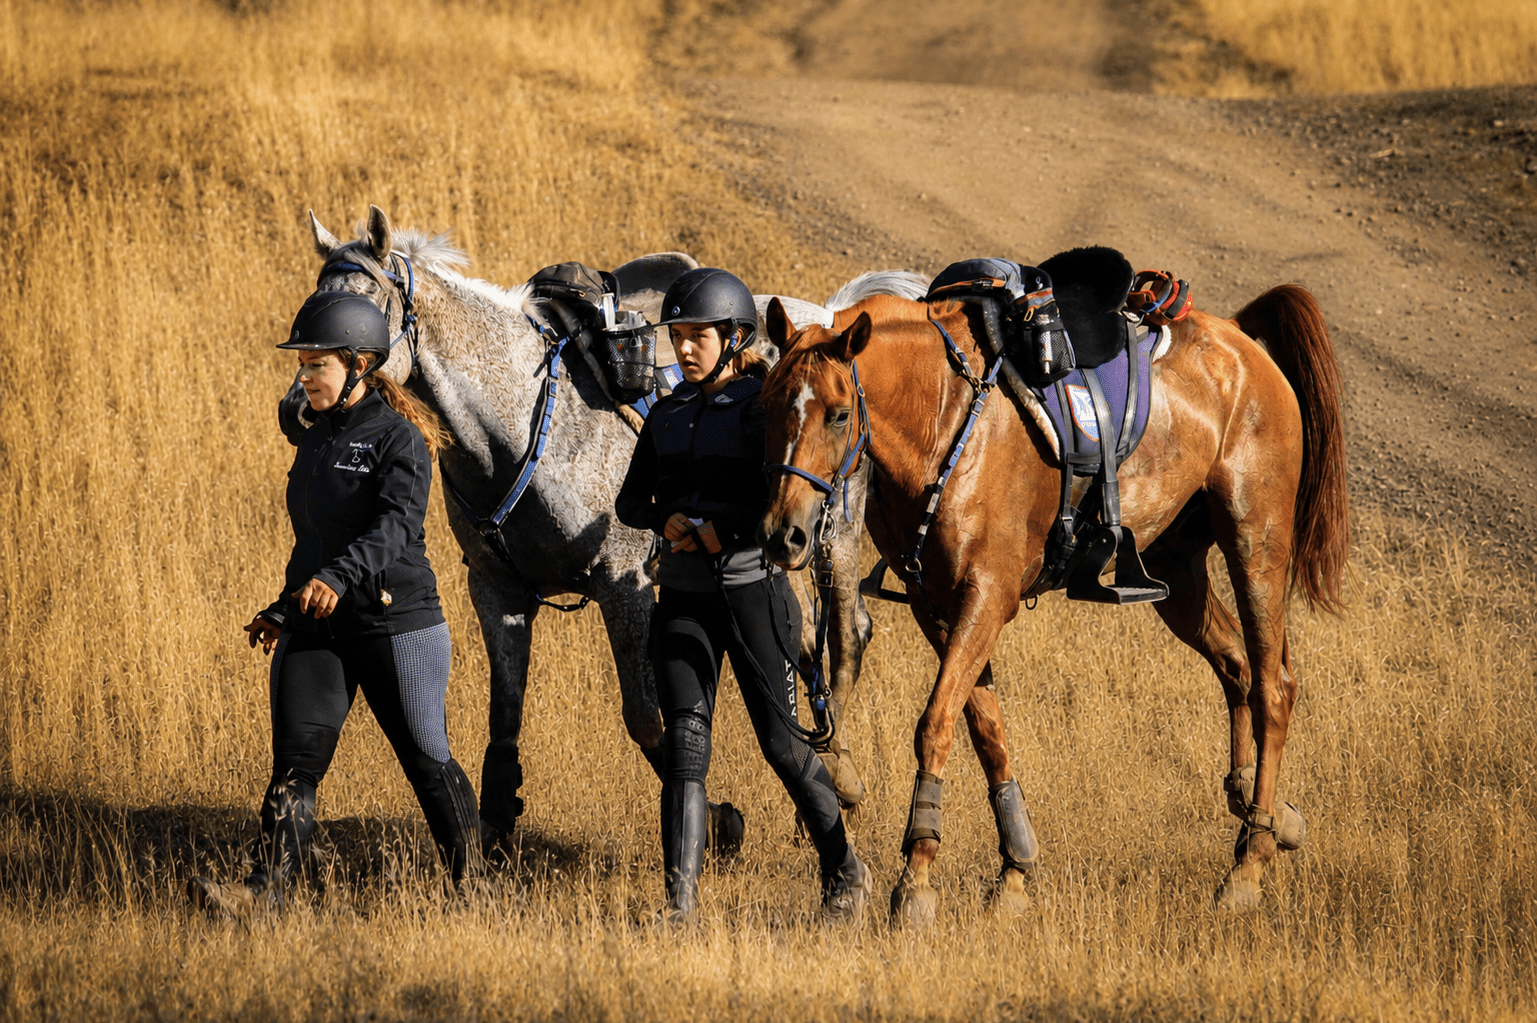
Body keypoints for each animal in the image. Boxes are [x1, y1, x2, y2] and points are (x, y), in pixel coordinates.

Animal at [285, 206, 929, 841]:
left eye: (365, 310)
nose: (297, 410)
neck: (519, 430)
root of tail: (829, 318)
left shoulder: (626, 584)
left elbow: (645, 718)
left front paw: (719, 821)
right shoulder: (496, 588)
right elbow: (505, 714)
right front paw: (495, 819)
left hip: (828, 537)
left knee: (846, 635)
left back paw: (840, 778)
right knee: (807, 640)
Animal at [756, 282, 1348, 921]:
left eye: (840, 415)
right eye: (767, 406)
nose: (784, 535)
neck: (944, 417)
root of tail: (1241, 342)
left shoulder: (987, 599)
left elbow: (936, 723)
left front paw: (916, 878)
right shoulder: (935, 605)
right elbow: (986, 729)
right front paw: (1015, 868)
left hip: (1255, 541)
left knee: (1272, 688)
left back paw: (1251, 860)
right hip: (1178, 571)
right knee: (1236, 668)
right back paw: (1260, 809)